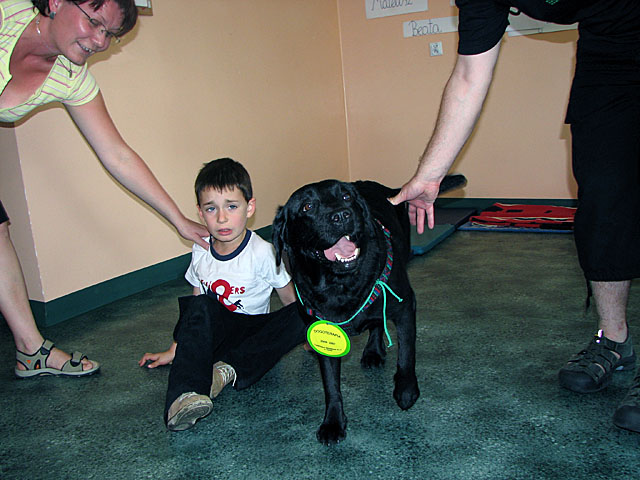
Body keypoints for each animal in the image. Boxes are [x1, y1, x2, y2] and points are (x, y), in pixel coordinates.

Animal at [272, 175, 466, 444]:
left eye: (346, 197)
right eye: (307, 207)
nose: (342, 215)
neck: (340, 285)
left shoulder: (405, 306)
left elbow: (407, 353)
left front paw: (406, 389)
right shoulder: (323, 331)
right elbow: (331, 385)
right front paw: (333, 422)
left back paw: (375, 351)